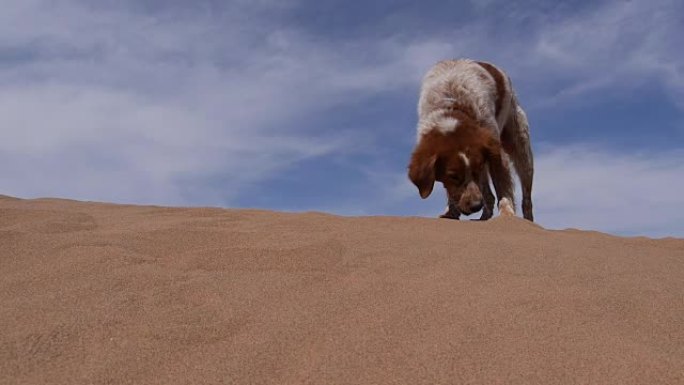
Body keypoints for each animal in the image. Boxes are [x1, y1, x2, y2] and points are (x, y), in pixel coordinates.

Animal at [406, 58, 536, 220]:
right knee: (489, 196)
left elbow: (503, 189)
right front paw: (451, 213)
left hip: (520, 148)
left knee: (526, 198)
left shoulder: (494, 151)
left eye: (476, 169)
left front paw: (507, 214)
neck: (452, 106)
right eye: (453, 176)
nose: (476, 206)